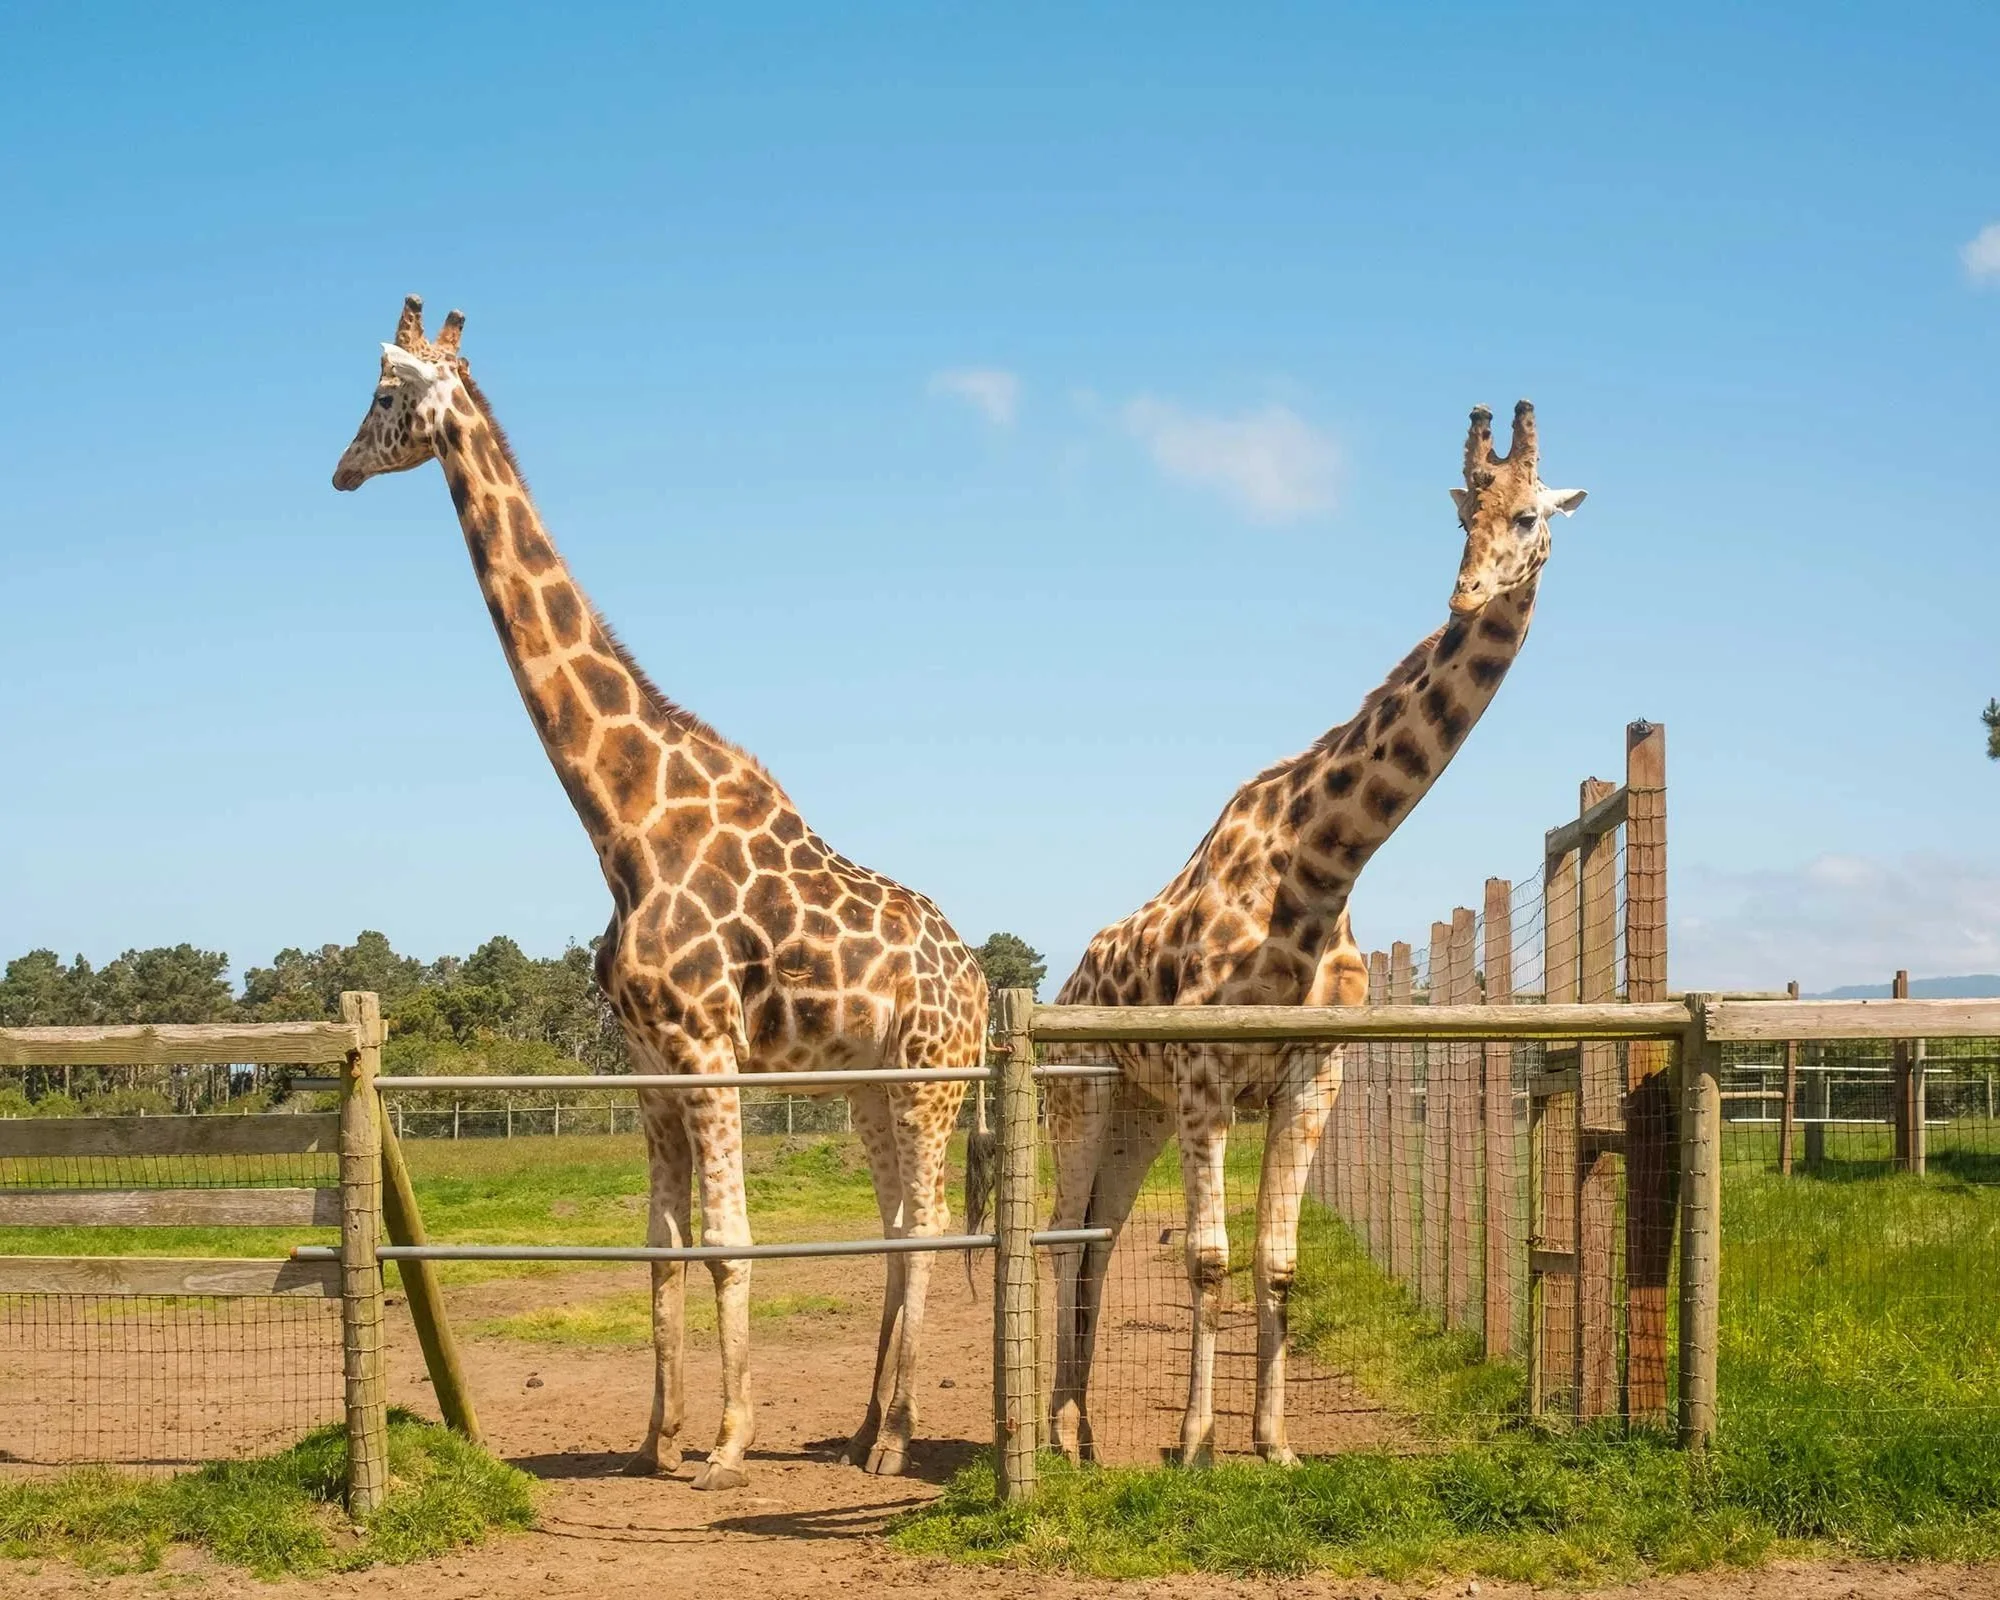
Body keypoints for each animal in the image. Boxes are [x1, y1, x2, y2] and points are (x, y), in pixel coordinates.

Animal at [331, 297, 986, 1490]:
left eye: (384, 392)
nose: (340, 468)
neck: (621, 824)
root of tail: (974, 979)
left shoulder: (705, 1043)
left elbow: (729, 1242)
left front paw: (726, 1444)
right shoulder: (645, 1062)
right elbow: (661, 1250)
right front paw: (654, 1438)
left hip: (930, 1080)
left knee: (923, 1228)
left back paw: (894, 1439)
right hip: (868, 1084)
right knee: (885, 1225)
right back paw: (862, 1428)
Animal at [1043, 402, 1586, 1467]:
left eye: (1530, 517)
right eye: (1463, 514)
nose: (1466, 595)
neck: (1322, 867)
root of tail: (1072, 984)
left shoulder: (1310, 1074)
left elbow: (1277, 1261)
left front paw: (1275, 1444)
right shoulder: (1209, 1078)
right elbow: (1208, 1260)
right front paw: (1195, 1446)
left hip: (1135, 1109)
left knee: (1099, 1242)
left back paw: (1083, 1433)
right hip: (1080, 1096)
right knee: (1059, 1240)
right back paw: (1056, 1434)